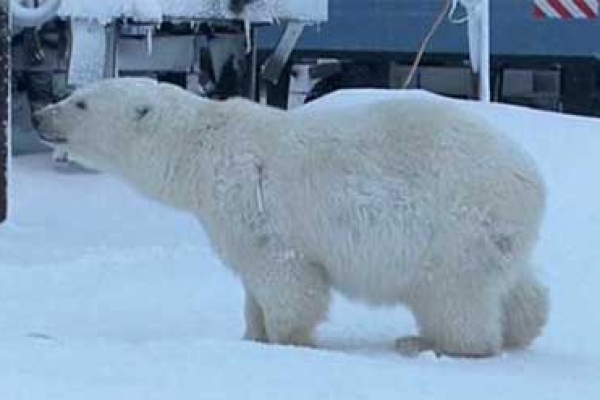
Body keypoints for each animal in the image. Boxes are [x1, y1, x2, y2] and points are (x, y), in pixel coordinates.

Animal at [34, 77, 548, 356]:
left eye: (80, 102)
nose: (39, 116)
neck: (201, 149)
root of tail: (531, 177)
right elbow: (251, 285)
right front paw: (251, 334)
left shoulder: (258, 206)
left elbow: (287, 280)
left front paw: (289, 339)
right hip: (493, 232)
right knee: (518, 287)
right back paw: (521, 327)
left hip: (455, 222)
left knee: (452, 294)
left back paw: (428, 342)